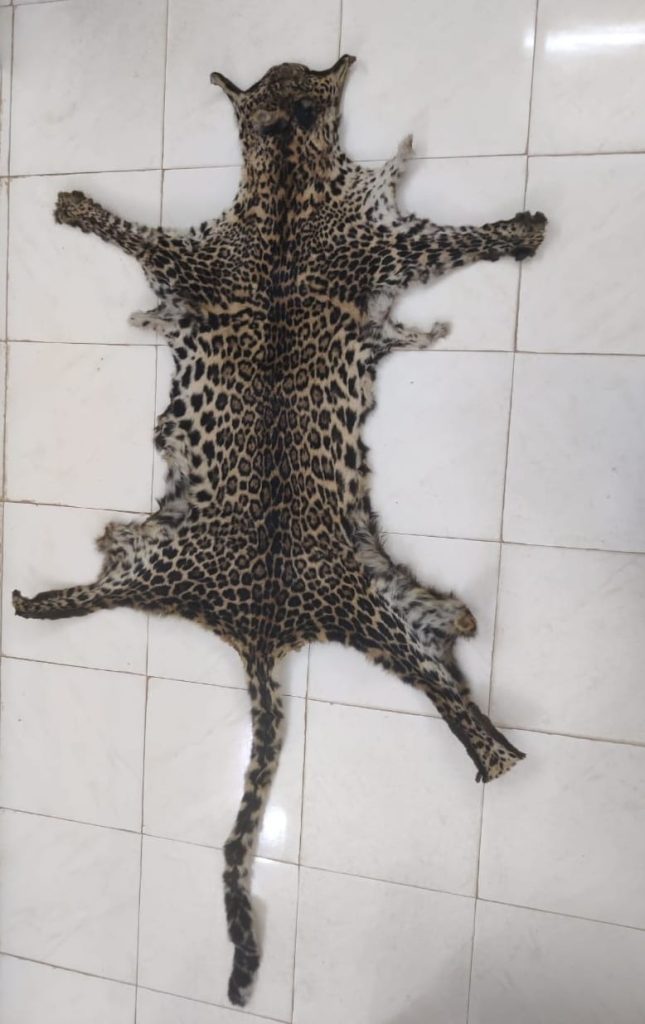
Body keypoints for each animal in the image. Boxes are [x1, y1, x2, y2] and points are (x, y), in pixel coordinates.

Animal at [12, 55, 547, 1006]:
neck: (286, 187)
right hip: (351, 610)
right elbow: (462, 239)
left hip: (322, 595)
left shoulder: (239, 254)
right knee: (447, 698)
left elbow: (146, 241)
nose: (315, 60)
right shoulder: (375, 244)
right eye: (291, 79)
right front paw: (522, 225)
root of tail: (256, 626)